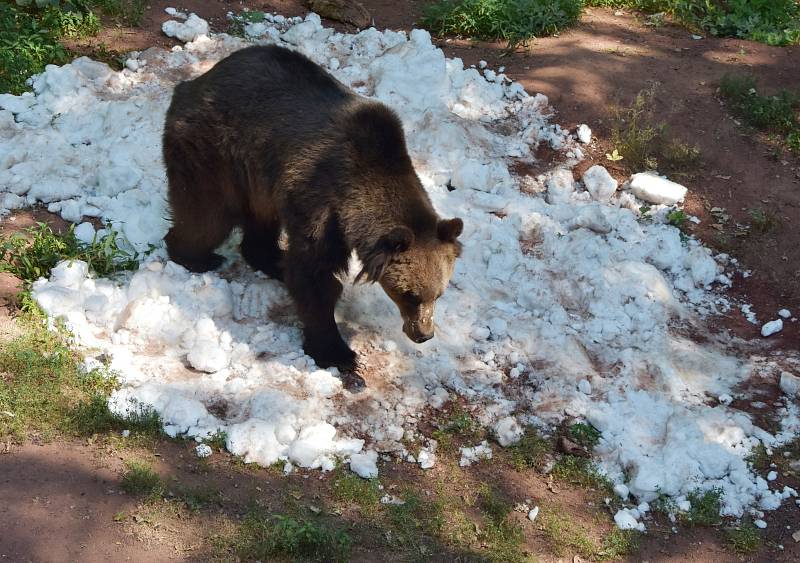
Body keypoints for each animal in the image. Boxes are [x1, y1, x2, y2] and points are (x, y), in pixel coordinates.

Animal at [162, 46, 462, 372]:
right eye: (410, 294)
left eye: (439, 293)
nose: (423, 334)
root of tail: (194, 82)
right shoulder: (321, 203)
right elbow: (314, 276)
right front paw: (337, 352)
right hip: (217, 153)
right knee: (206, 214)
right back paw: (197, 257)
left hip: (259, 179)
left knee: (258, 221)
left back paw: (271, 260)